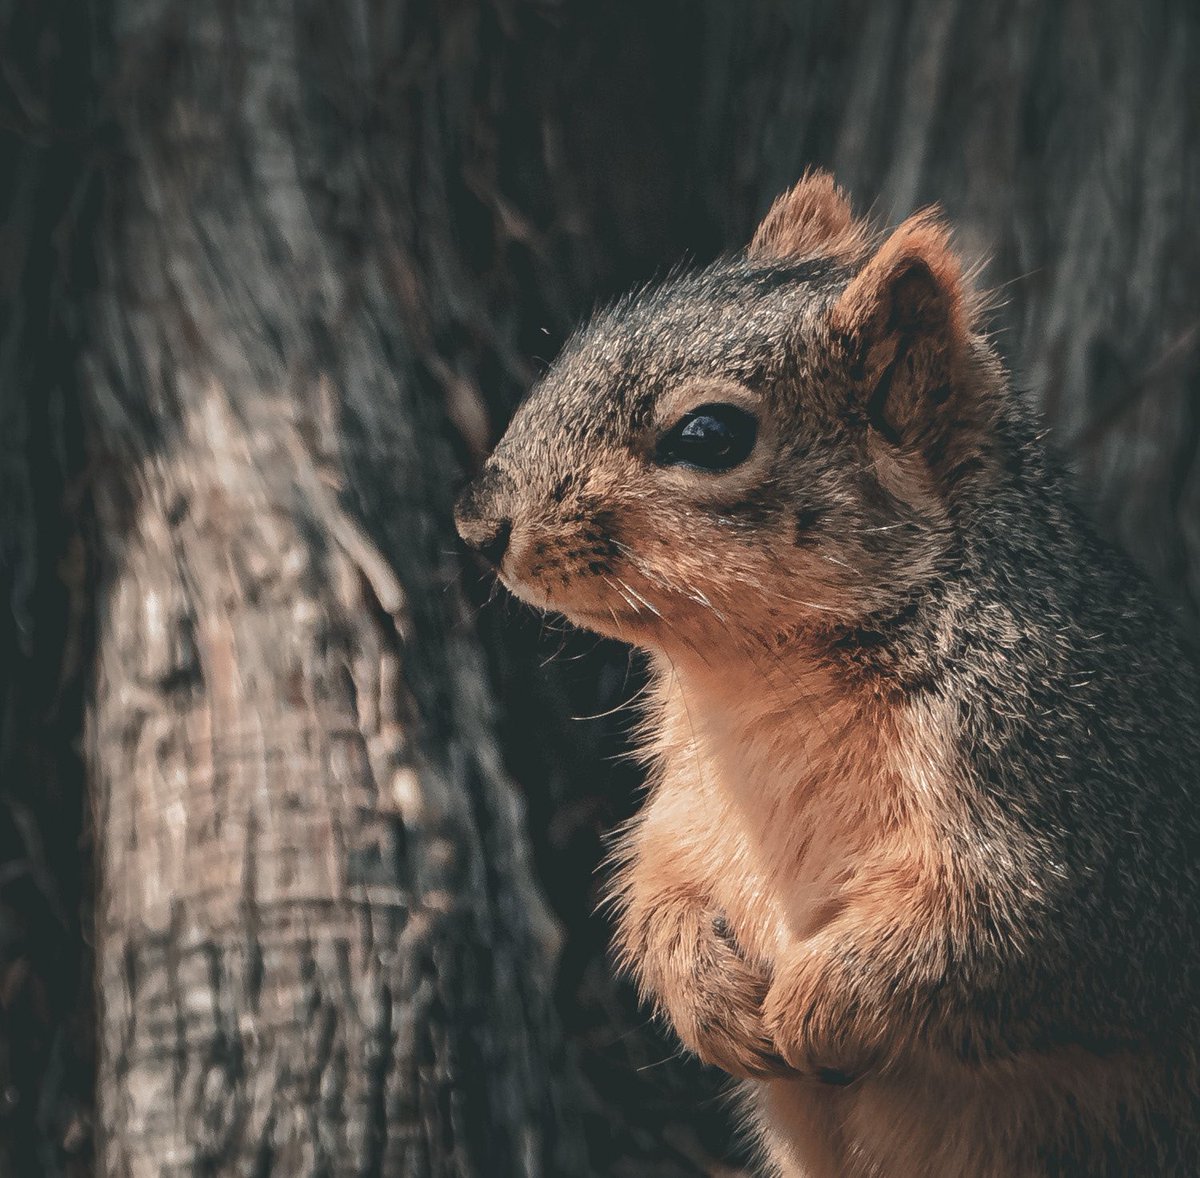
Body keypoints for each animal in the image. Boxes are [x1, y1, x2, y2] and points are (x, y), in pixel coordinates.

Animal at [451, 170, 1200, 1175]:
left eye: (710, 434)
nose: (476, 519)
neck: (764, 677)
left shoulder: (1075, 809)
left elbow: (1000, 937)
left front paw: (812, 1011)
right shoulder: (685, 802)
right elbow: (656, 885)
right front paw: (708, 996)